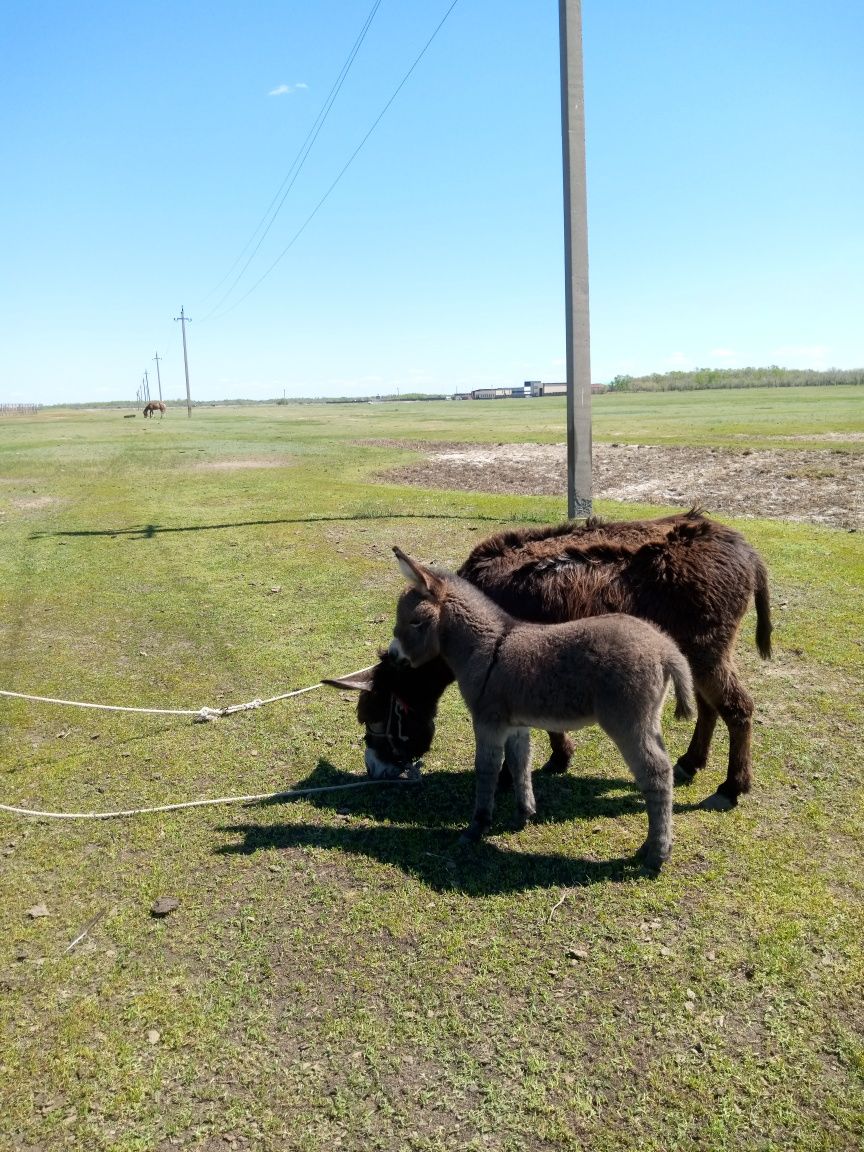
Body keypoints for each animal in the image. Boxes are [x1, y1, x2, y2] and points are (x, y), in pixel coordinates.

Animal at [391, 546, 695, 866]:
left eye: (415, 622)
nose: (393, 656)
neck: (487, 646)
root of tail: (665, 648)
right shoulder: (515, 724)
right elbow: (520, 764)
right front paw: (523, 815)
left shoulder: (488, 722)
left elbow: (486, 769)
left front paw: (477, 826)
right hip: (649, 719)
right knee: (663, 767)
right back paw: (654, 846)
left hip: (626, 721)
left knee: (655, 772)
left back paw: (656, 853)